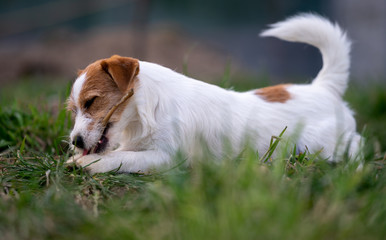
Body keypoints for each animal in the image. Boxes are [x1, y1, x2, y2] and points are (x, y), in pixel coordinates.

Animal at [65, 14, 362, 173]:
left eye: (91, 101)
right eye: (74, 109)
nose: (75, 141)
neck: (148, 112)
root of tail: (322, 87)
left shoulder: (167, 156)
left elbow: (120, 158)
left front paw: (87, 162)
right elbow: (119, 152)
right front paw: (79, 158)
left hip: (322, 143)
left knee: (357, 143)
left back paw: (357, 166)